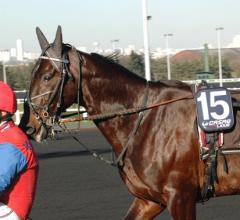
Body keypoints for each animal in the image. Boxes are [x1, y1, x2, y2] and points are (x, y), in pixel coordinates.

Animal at [19, 26, 240, 219]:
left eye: (47, 76)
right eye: (32, 74)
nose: (27, 126)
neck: (145, 119)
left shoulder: (180, 196)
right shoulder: (149, 200)